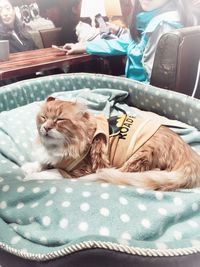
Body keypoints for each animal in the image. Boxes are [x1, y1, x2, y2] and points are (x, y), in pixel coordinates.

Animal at [21, 97, 200, 192]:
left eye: (60, 120)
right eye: (43, 117)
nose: (46, 128)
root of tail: (189, 154)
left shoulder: (79, 170)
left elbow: (52, 171)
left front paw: (30, 177)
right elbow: (42, 163)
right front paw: (29, 167)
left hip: (140, 155)